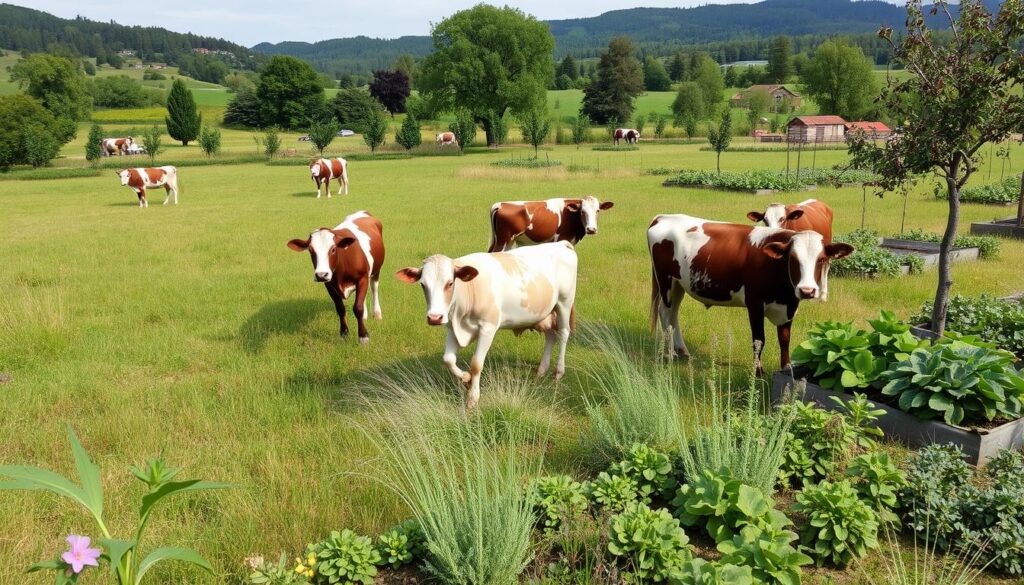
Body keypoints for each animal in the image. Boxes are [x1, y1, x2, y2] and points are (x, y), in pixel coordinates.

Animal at [286, 211, 385, 346]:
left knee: (374, 289)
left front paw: (363, 336)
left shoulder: (362, 278)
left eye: (333, 249)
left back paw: (377, 313)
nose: (321, 275)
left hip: (376, 270)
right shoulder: (329, 285)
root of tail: (363, 212)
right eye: (310, 250)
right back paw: (365, 315)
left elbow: (357, 308)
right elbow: (340, 308)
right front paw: (344, 334)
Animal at [395, 240, 581, 409]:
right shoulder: (452, 328)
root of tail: (561, 243)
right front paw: (465, 378)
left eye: (450, 283)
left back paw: (559, 372)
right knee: (550, 335)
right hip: (546, 312)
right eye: (422, 284)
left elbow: (476, 364)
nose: (434, 317)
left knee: (563, 333)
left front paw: (473, 397)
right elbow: (448, 359)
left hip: (564, 302)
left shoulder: (488, 328)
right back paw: (542, 370)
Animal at [647, 215, 856, 374]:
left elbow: (785, 339)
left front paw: (787, 368)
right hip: (665, 281)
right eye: (793, 259)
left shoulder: (788, 307)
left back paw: (682, 350)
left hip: (679, 283)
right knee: (665, 313)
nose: (807, 290)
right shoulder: (755, 303)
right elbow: (759, 341)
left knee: (674, 313)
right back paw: (670, 354)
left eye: (821, 259)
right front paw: (758, 372)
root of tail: (663, 217)